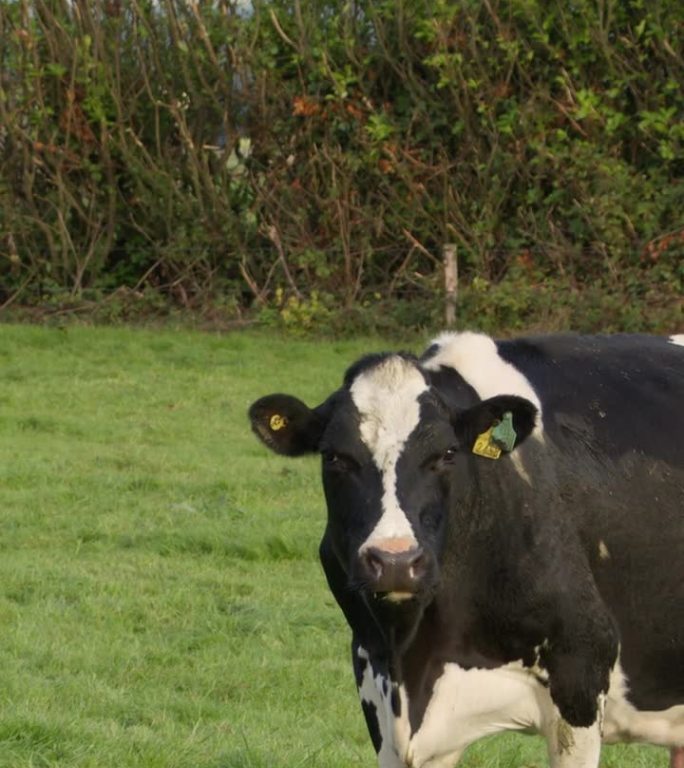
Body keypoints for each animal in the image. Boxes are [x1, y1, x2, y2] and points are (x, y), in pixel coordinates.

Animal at [250, 332, 684, 768]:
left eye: (446, 454)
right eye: (334, 457)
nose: (395, 562)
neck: (412, 658)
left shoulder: (582, 668)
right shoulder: (376, 683)